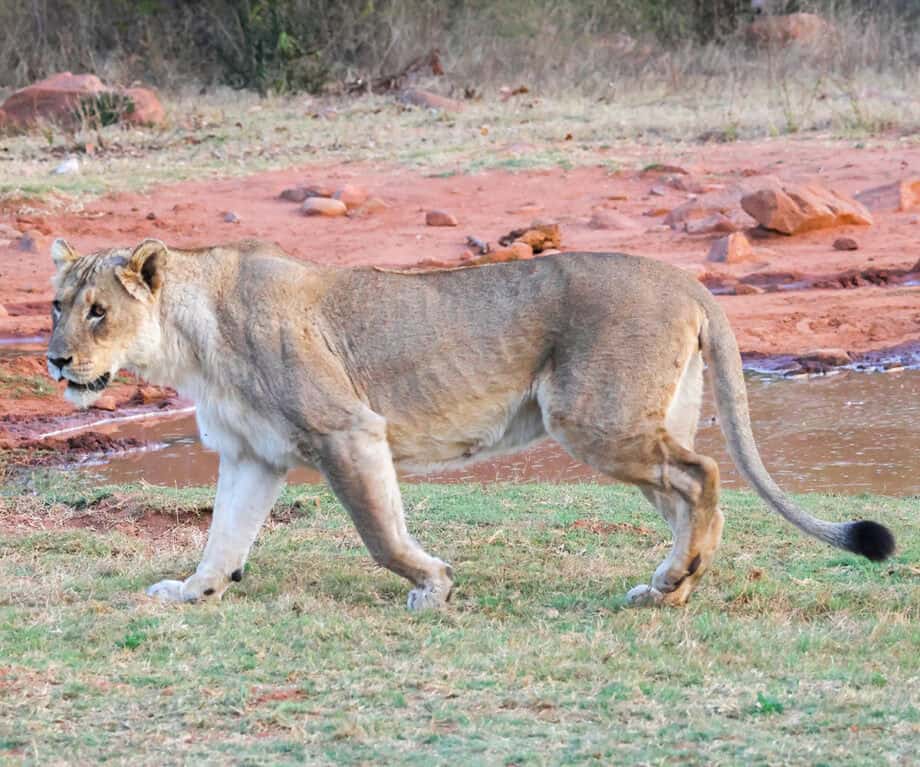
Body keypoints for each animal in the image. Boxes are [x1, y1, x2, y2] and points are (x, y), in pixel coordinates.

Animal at [46, 238, 895, 608]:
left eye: (100, 311)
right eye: (57, 305)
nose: (55, 360)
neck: (191, 340)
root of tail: (688, 279)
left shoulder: (348, 428)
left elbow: (380, 532)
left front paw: (431, 584)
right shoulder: (255, 454)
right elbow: (224, 535)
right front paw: (193, 590)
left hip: (592, 416)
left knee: (706, 473)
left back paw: (676, 581)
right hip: (632, 421)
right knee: (690, 492)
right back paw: (667, 585)